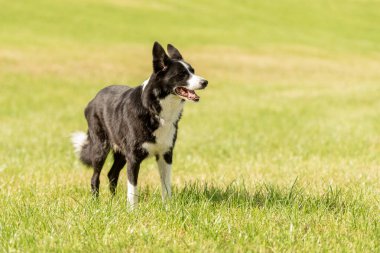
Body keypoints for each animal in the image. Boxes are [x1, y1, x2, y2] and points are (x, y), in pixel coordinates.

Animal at [71, 42, 208, 208]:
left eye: (193, 71)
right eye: (182, 74)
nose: (205, 82)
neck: (155, 108)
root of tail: (94, 99)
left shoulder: (165, 154)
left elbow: (166, 186)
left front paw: (167, 208)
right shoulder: (133, 158)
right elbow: (132, 189)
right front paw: (132, 210)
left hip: (121, 153)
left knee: (112, 174)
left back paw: (113, 201)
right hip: (100, 148)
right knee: (95, 177)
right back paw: (96, 203)